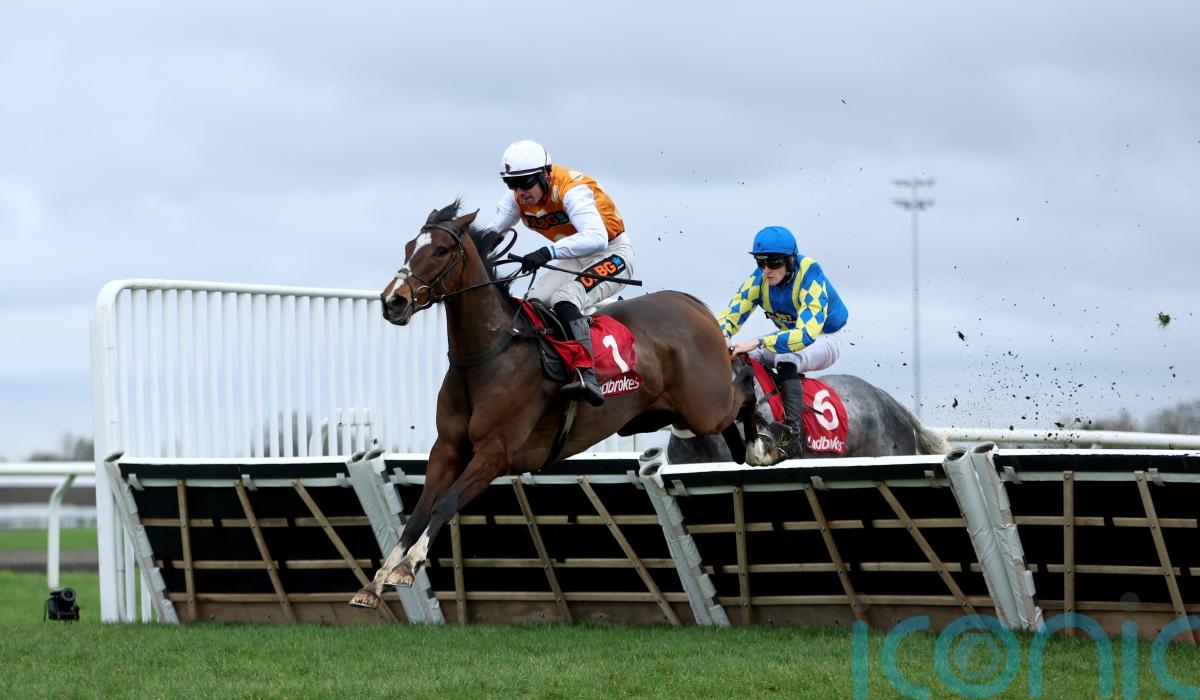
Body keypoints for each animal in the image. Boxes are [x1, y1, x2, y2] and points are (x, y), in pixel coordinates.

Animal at [350, 201, 744, 609]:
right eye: (408, 247)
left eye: (441, 250)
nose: (393, 301)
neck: (487, 354)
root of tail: (691, 303)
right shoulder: (446, 448)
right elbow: (418, 512)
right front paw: (375, 583)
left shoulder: (495, 452)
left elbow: (446, 502)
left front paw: (407, 566)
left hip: (706, 407)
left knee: (741, 396)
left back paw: (761, 438)